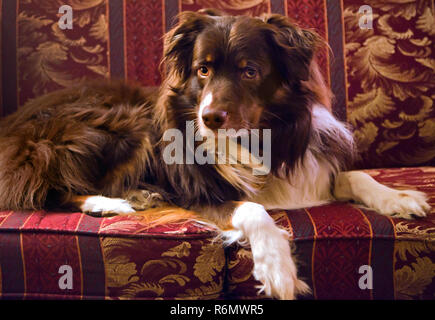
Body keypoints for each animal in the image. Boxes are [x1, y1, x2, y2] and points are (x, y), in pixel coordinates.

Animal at [0, 10, 430, 300]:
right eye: (202, 70)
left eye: (249, 71)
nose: (208, 118)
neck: (259, 137)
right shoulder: (197, 194)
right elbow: (253, 209)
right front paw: (277, 268)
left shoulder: (309, 168)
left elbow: (353, 175)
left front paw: (399, 198)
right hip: (119, 122)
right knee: (48, 189)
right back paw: (110, 203)